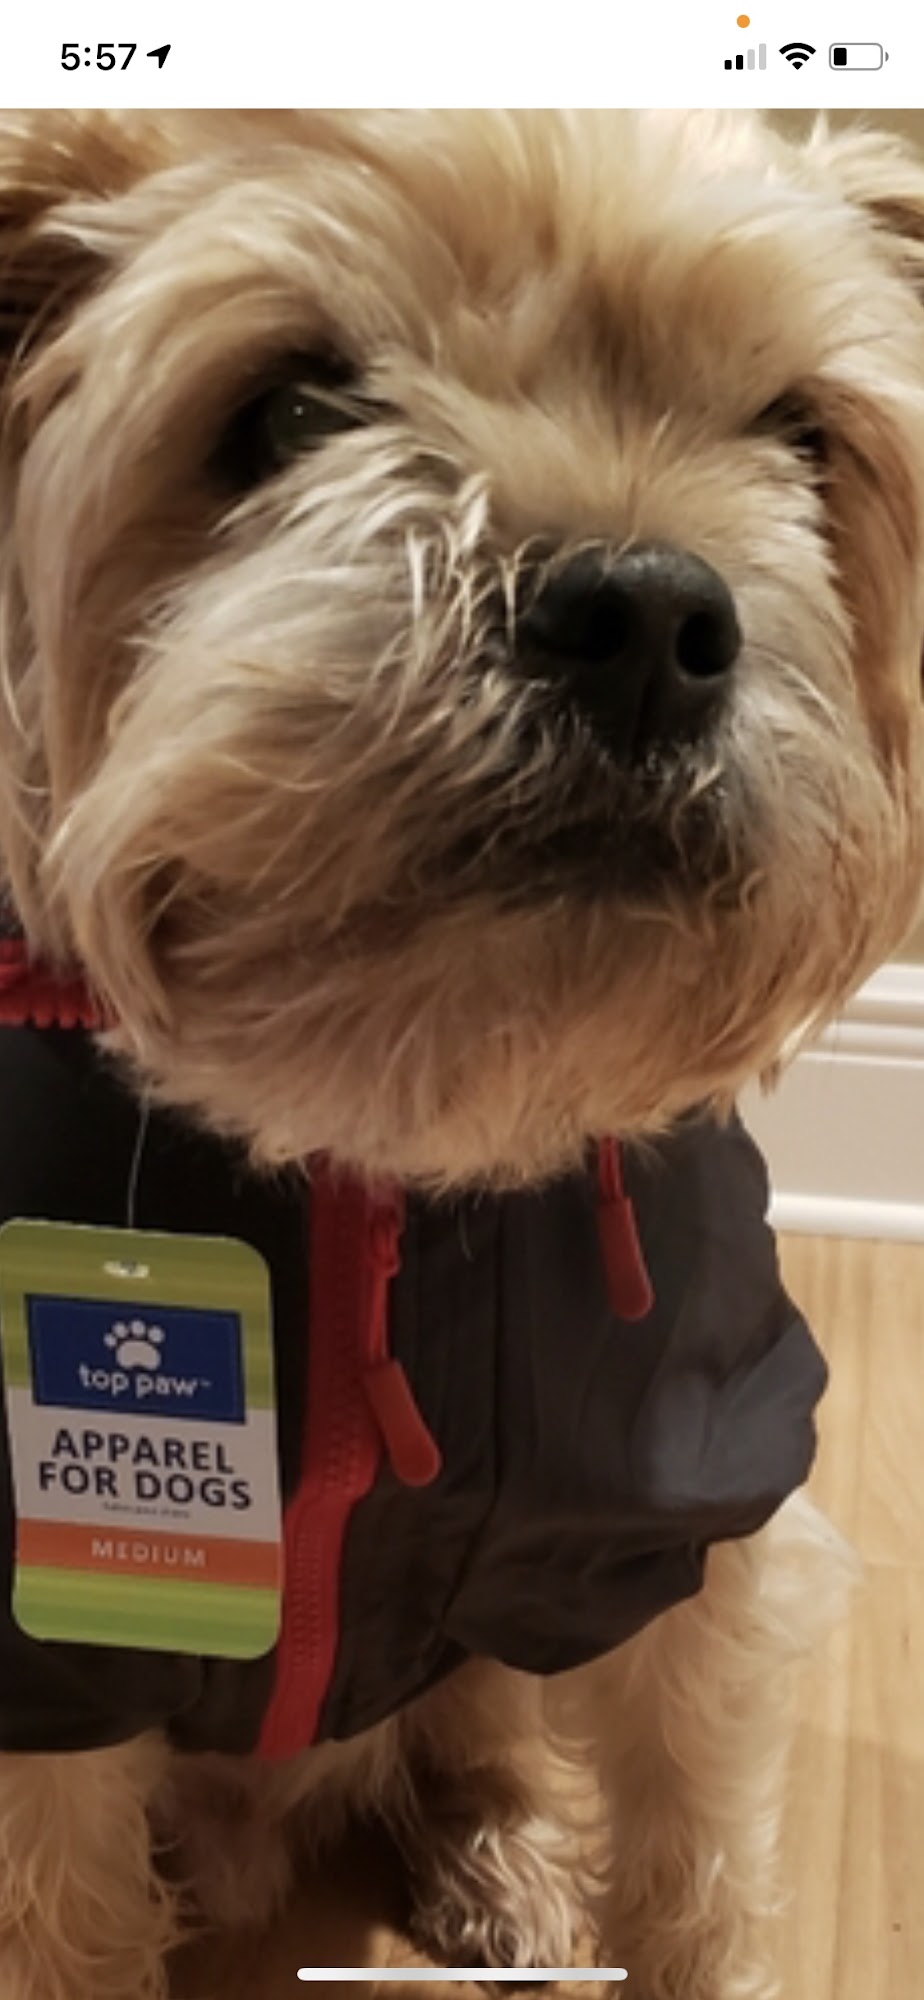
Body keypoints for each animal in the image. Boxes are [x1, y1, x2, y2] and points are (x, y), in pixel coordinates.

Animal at [0, 106, 923, 2000]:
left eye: (800, 435)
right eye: (283, 414)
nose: (645, 613)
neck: (404, 1124)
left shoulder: (695, 1534)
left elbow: (693, 1854)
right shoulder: (47, 1647)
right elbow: (60, 1909)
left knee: (480, 1724)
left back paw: (497, 1865)